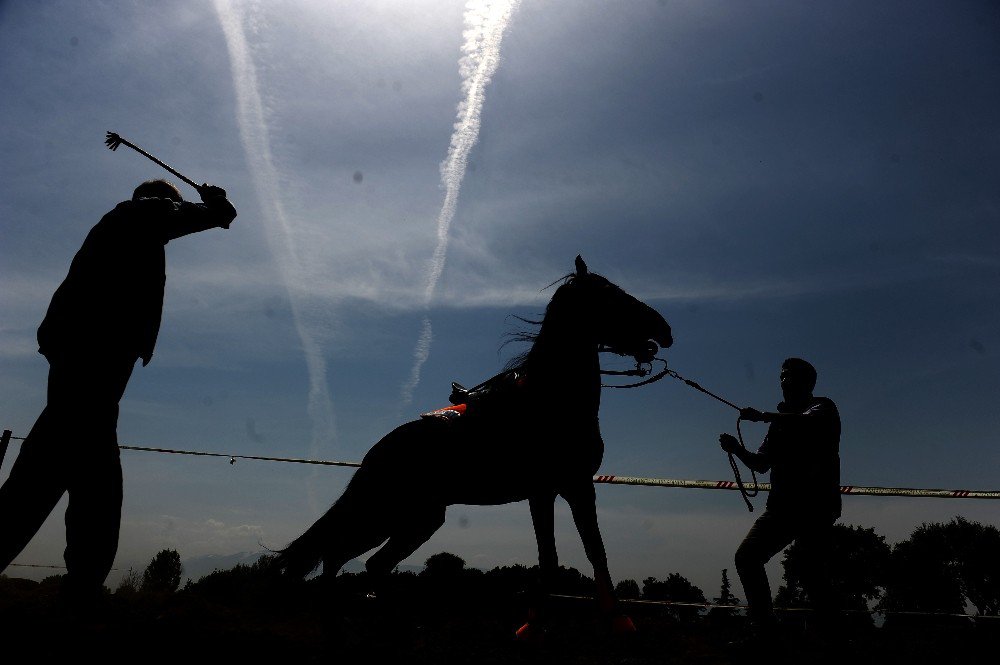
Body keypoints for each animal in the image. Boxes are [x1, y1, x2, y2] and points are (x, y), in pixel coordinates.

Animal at [276, 254, 672, 632]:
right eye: (610, 294)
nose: (664, 329)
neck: (548, 402)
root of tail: (375, 455)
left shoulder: (566, 490)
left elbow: (581, 554)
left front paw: (587, 620)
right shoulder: (557, 489)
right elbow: (564, 557)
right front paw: (565, 622)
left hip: (417, 519)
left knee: (367, 563)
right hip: (385, 513)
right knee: (338, 555)